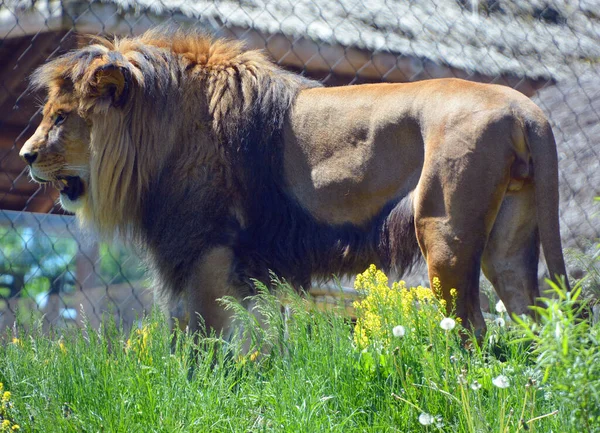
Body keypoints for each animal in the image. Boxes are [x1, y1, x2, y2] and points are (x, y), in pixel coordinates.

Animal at [18, 28, 568, 336]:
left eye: (61, 117)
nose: (25, 156)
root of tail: (525, 108)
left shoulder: (206, 251)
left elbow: (202, 343)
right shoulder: (240, 266)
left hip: (446, 236)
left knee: (473, 328)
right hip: (508, 245)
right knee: (532, 324)